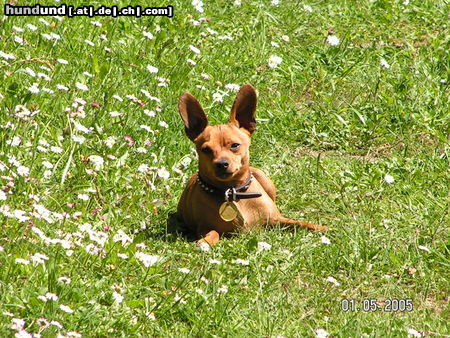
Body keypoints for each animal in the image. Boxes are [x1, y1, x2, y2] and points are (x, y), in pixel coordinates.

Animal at [176, 84, 326, 246]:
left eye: (235, 145)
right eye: (206, 150)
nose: (221, 164)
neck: (233, 192)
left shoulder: (277, 220)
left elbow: (300, 223)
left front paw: (323, 228)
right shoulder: (204, 227)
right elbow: (213, 232)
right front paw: (205, 242)